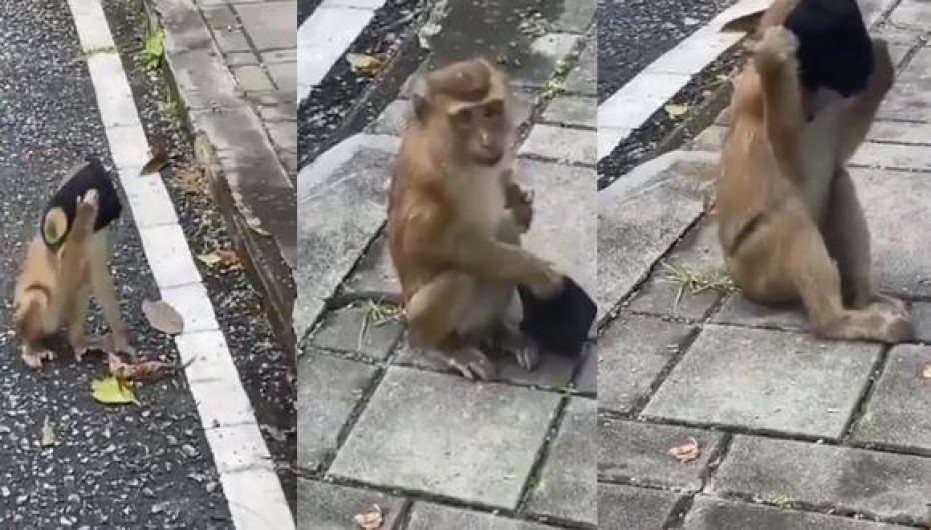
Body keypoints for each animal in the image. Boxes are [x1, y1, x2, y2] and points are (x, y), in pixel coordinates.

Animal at [13, 160, 134, 369]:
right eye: (109, 195)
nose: (119, 208)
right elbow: (64, 270)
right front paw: (85, 212)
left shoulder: (98, 236)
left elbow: (98, 278)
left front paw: (121, 339)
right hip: (43, 316)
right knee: (38, 294)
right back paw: (31, 346)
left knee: (81, 288)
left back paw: (79, 341)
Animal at [386, 58, 566, 381]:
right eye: (465, 117)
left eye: (491, 111)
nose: (487, 140)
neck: (454, 157)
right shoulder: (426, 194)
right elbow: (429, 246)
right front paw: (536, 272)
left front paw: (520, 200)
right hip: (423, 316)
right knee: (458, 278)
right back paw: (443, 345)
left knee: (504, 230)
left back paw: (498, 332)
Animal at [716, 22, 913, 344]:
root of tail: (739, 281)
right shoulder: (759, 117)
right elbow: (792, 165)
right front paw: (775, 59)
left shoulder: (829, 114)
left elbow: (838, 153)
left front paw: (882, 59)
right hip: (758, 269)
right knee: (791, 214)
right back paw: (836, 321)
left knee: (839, 182)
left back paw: (863, 300)